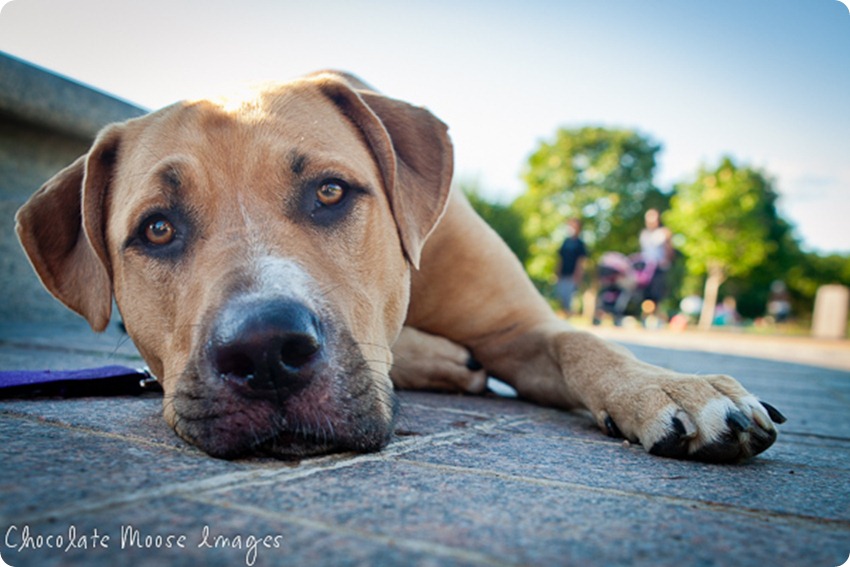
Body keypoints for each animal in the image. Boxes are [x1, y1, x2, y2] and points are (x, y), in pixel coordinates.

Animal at [14, 71, 780, 462]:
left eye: (330, 191)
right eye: (157, 229)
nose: (264, 350)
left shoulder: (517, 327)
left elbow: (583, 341)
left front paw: (673, 387)